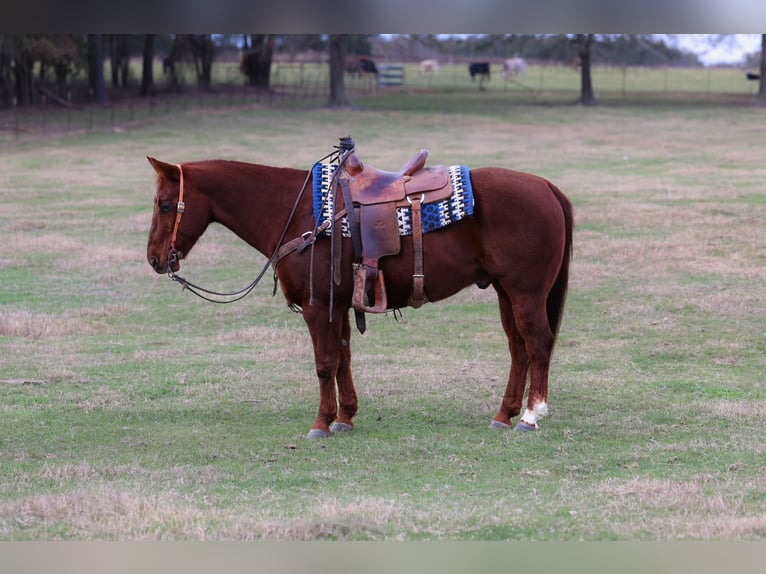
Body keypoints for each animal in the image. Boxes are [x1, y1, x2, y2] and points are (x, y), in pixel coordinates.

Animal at [146, 146, 573, 439]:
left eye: (165, 204)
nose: (154, 258)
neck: (298, 212)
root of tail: (547, 187)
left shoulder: (317, 306)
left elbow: (324, 362)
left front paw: (321, 422)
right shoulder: (338, 305)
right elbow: (342, 359)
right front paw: (345, 416)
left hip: (526, 293)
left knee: (537, 343)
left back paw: (530, 416)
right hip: (505, 292)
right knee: (518, 348)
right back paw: (505, 414)